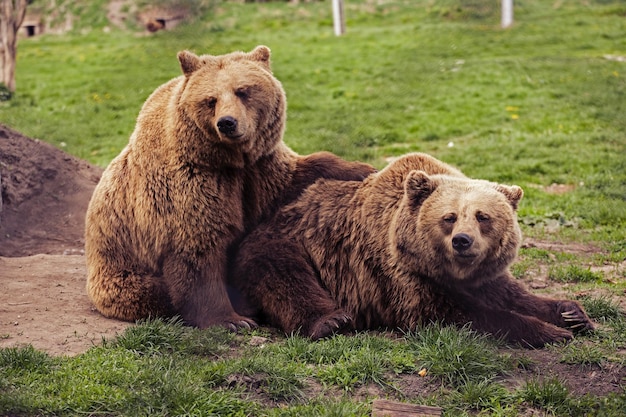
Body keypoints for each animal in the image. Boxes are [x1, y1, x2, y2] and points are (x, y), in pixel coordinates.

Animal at [84, 45, 372, 330]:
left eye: (243, 90)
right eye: (210, 100)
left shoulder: (259, 171)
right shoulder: (192, 185)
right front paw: (231, 320)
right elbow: (198, 252)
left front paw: (361, 168)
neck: (229, 161)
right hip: (122, 272)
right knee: (154, 291)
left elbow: (296, 175)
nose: (227, 122)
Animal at [232, 151, 592, 346]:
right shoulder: (398, 275)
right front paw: (551, 332)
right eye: (449, 217)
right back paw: (331, 321)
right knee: (285, 275)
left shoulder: (484, 277)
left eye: (483, 216)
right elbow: (455, 314)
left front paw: (572, 315)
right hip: (286, 240)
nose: (462, 241)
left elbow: (513, 294)